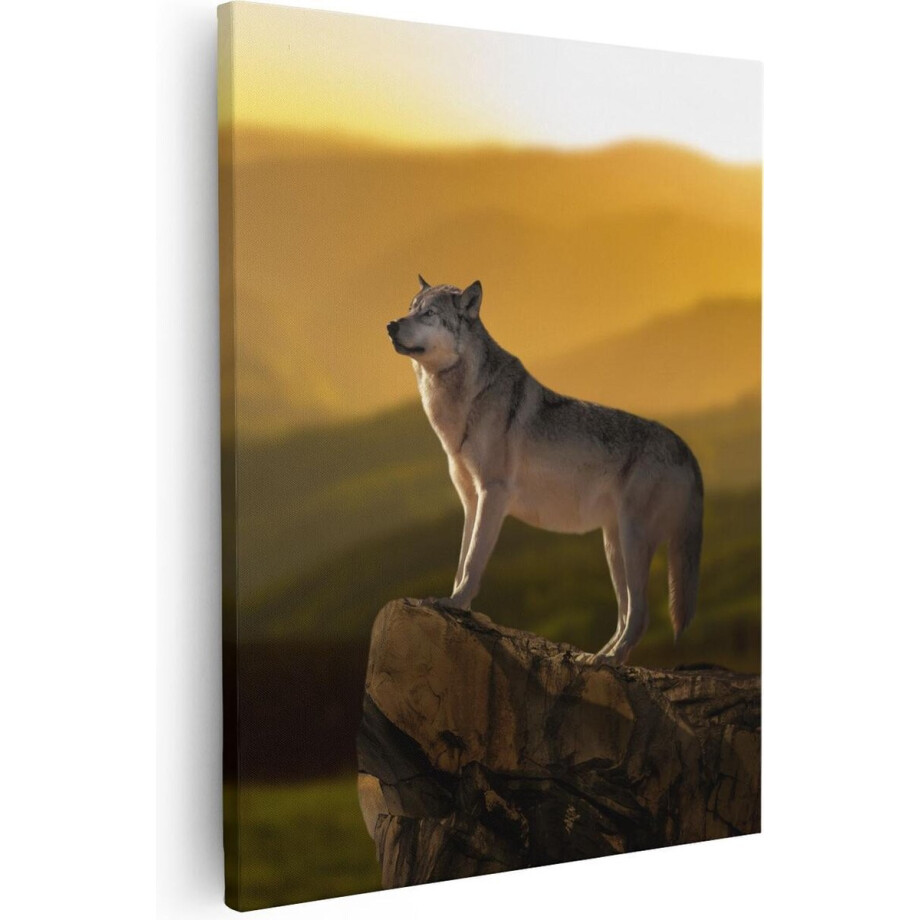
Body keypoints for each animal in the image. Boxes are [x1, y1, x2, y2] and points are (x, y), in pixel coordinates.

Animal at [386, 277, 704, 664]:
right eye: (410, 308)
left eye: (429, 314)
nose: (391, 326)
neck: (466, 401)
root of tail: (687, 449)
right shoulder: (471, 501)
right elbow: (462, 559)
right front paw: (453, 602)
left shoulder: (494, 494)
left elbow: (474, 561)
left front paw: (457, 603)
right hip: (614, 547)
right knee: (624, 614)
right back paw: (595, 657)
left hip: (632, 541)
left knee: (639, 615)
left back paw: (608, 660)